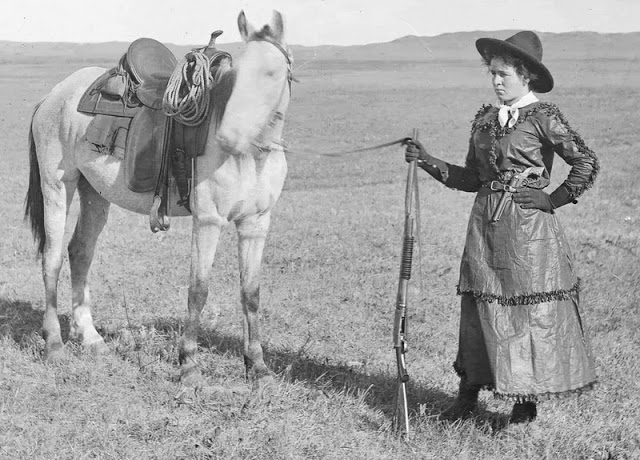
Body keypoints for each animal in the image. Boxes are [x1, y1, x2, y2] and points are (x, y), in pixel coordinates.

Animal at [23, 9, 294, 386]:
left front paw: (257, 367)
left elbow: (250, 294)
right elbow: (198, 290)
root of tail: (53, 96)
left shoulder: (256, 224)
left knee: (80, 253)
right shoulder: (208, 221)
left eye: (270, 73)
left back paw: (91, 338)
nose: (228, 137)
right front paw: (189, 366)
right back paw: (54, 346)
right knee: (52, 260)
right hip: (57, 186)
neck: (252, 155)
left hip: (95, 193)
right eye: (235, 75)